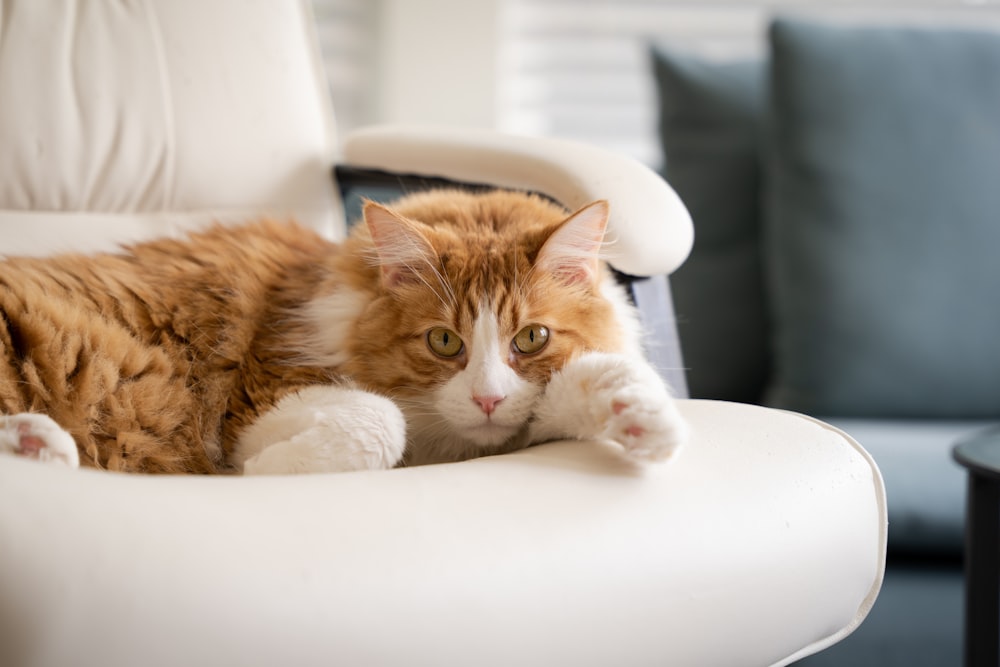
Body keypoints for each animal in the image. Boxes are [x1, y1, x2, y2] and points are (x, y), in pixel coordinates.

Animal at [0, 187, 688, 474]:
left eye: (532, 340)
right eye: (444, 342)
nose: (488, 400)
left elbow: (602, 377)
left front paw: (643, 421)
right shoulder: (260, 397)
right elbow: (380, 421)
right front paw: (260, 473)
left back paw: (39, 448)